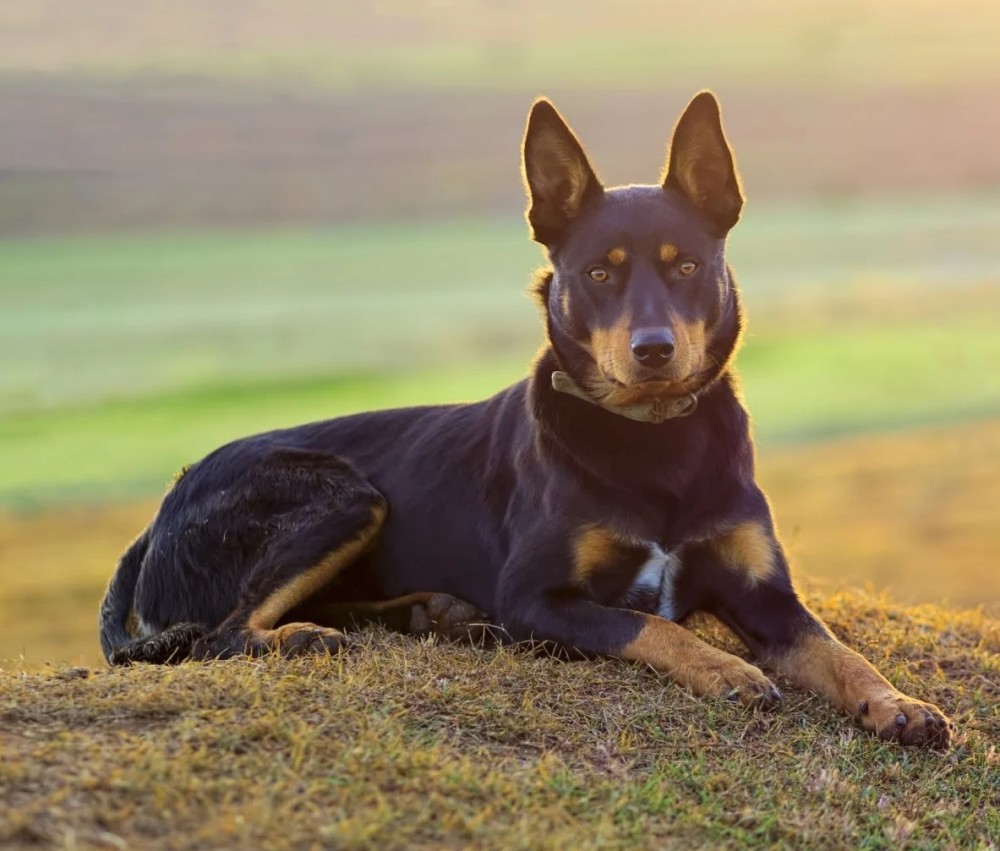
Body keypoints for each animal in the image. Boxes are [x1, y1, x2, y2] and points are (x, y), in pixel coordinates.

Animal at [101, 90, 952, 748]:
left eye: (686, 265)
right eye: (599, 272)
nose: (653, 350)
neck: (653, 437)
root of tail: (160, 509)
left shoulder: (766, 595)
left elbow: (839, 651)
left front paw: (899, 703)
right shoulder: (538, 597)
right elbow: (651, 625)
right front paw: (727, 669)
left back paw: (435, 613)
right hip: (344, 493)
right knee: (224, 635)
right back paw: (321, 634)